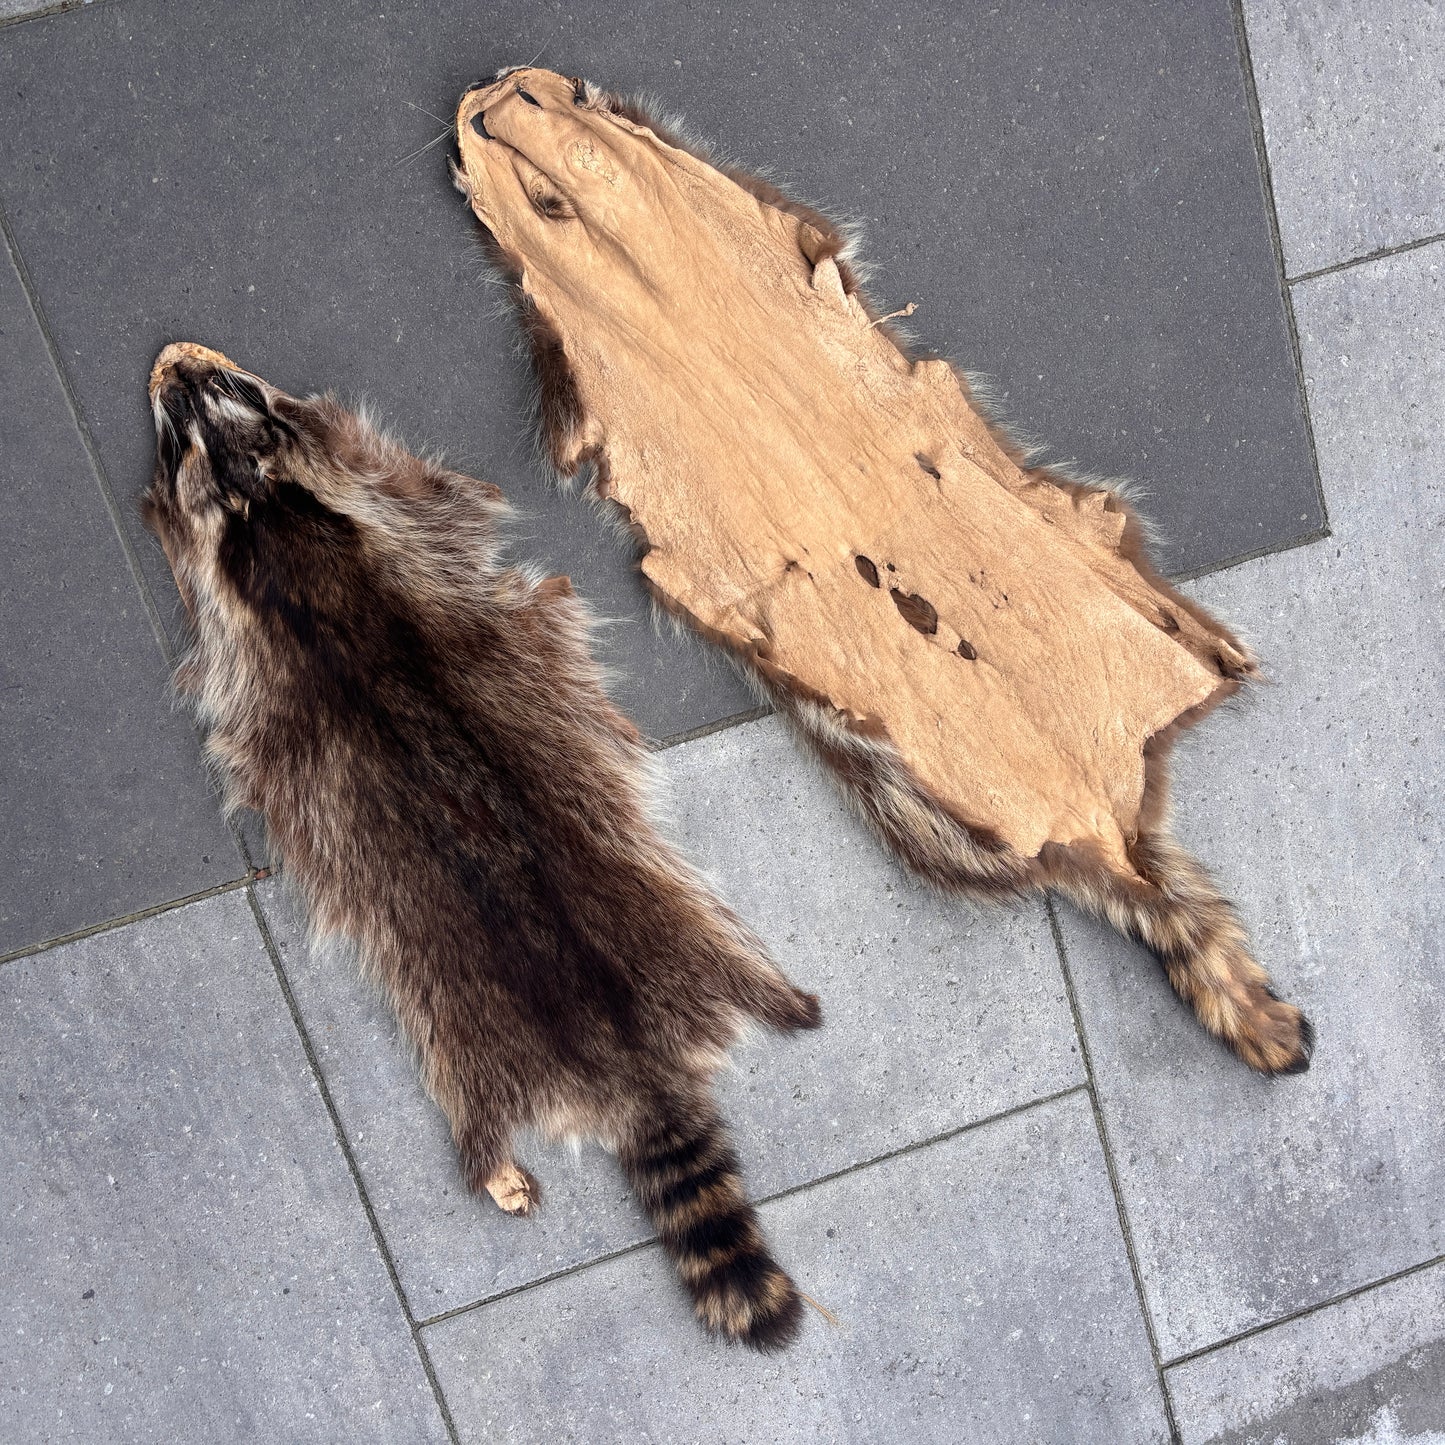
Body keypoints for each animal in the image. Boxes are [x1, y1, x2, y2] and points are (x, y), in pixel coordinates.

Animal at [141, 341, 822, 1348]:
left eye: (217, 393)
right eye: (187, 414)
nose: (173, 362)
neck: (264, 506)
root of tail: (635, 1066)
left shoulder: (380, 511)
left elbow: (444, 492)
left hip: (462, 1029)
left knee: (469, 1098)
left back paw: (487, 1158)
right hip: (669, 930)